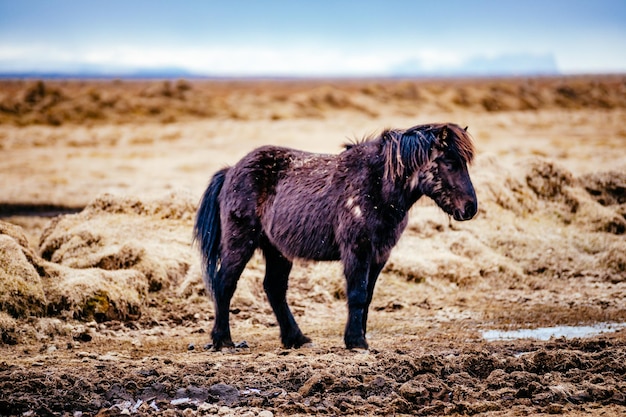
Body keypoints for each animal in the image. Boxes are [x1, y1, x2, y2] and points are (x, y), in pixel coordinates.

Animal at [193, 122, 476, 350]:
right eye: (449, 163)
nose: (470, 208)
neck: (377, 186)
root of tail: (231, 170)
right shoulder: (357, 249)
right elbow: (357, 294)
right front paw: (356, 342)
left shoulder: (379, 255)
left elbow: (367, 297)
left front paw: (360, 337)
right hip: (240, 241)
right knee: (224, 283)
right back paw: (223, 340)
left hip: (277, 250)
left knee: (274, 288)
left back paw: (296, 338)